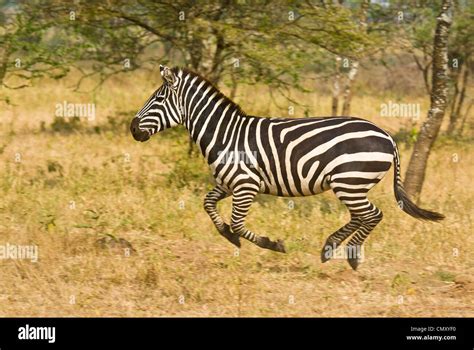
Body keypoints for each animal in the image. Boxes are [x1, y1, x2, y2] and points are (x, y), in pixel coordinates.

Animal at [131, 64, 444, 270]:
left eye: (158, 99)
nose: (133, 129)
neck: (225, 134)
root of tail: (386, 135)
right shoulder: (227, 183)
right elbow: (207, 204)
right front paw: (227, 236)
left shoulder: (246, 185)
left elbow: (238, 222)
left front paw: (271, 244)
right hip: (350, 184)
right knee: (361, 216)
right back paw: (329, 248)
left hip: (350, 180)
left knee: (372, 215)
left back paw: (352, 257)